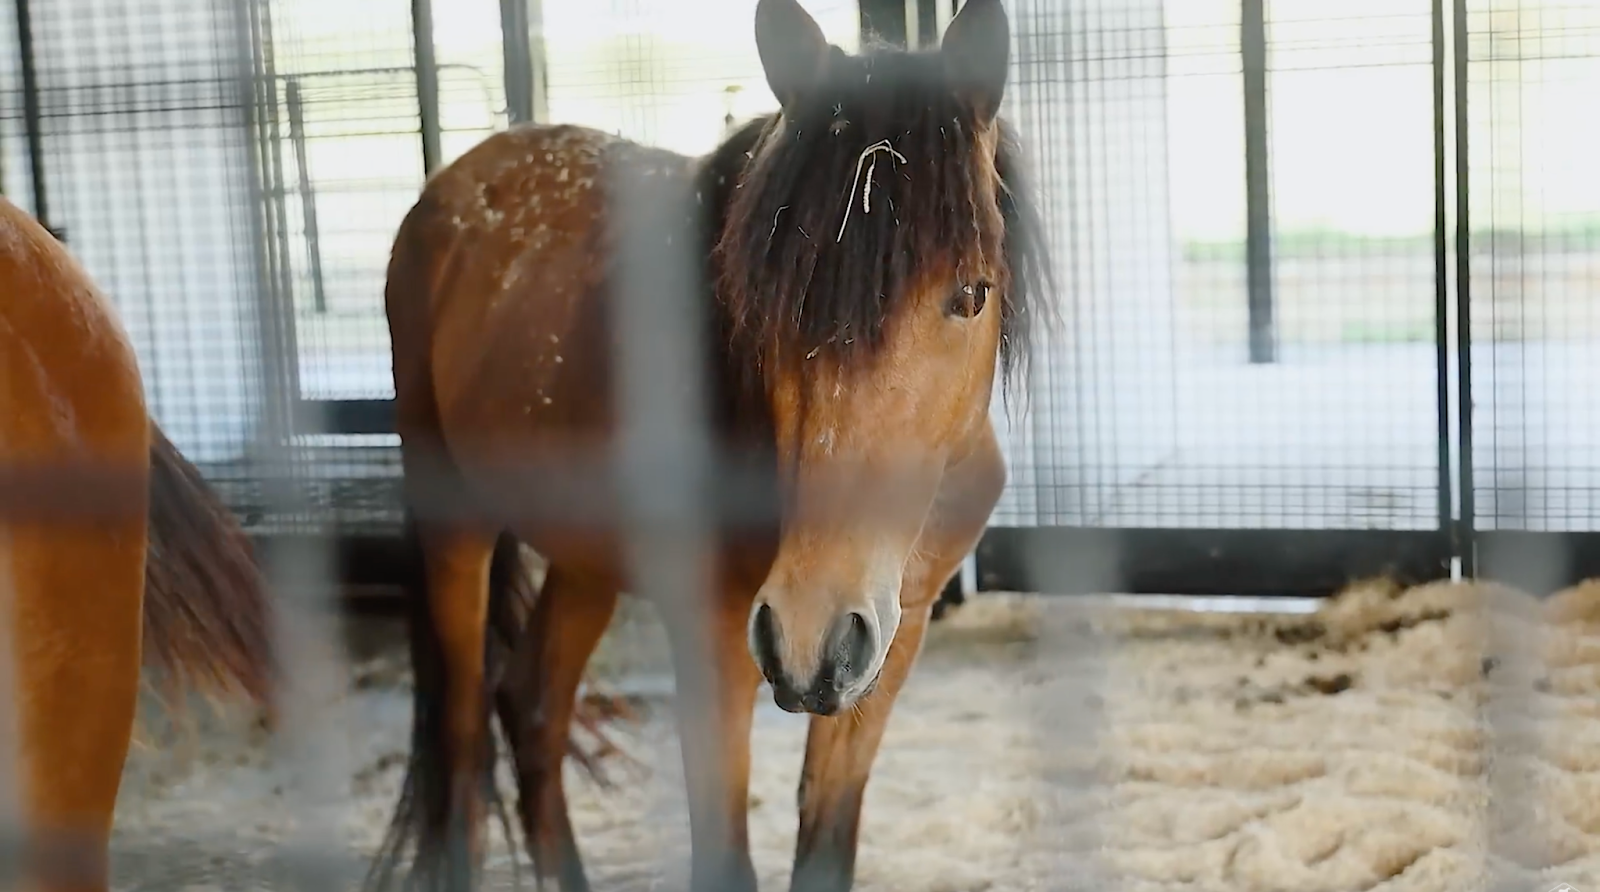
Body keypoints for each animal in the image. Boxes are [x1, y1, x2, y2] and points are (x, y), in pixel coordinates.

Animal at [370, 0, 1048, 889]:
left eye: (971, 294)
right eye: (768, 298)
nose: (811, 637)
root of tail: (449, 187)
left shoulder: (890, 646)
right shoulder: (713, 637)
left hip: (587, 559)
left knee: (532, 706)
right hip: (456, 527)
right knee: (460, 741)